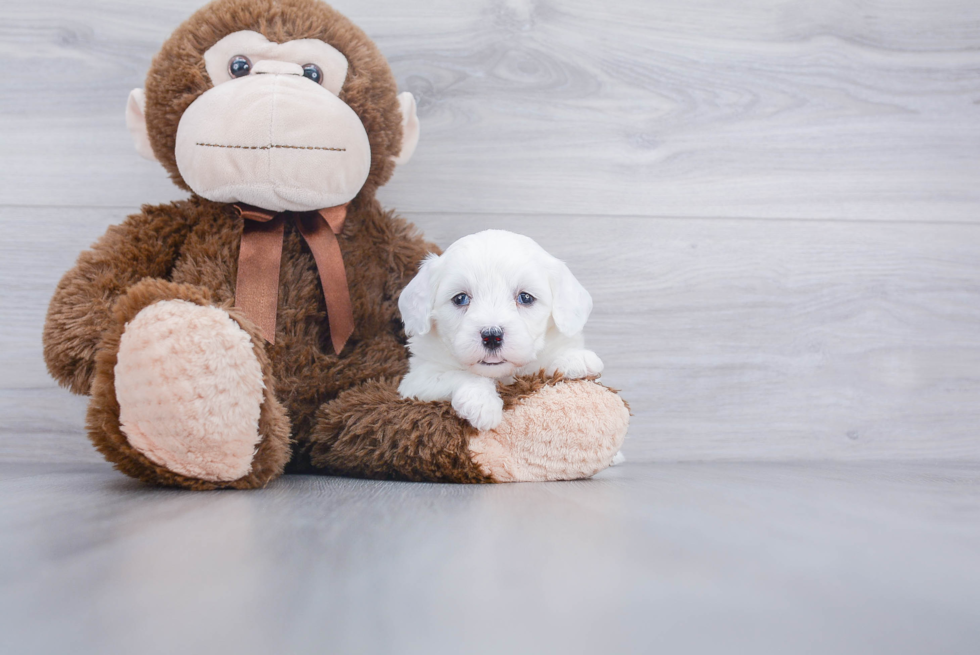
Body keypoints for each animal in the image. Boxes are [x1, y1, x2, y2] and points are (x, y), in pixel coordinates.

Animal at [394, 228, 600, 434]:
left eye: (525, 297)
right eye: (460, 298)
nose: (492, 336)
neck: (502, 376)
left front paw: (574, 358)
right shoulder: (415, 382)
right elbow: (457, 374)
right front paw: (481, 404)